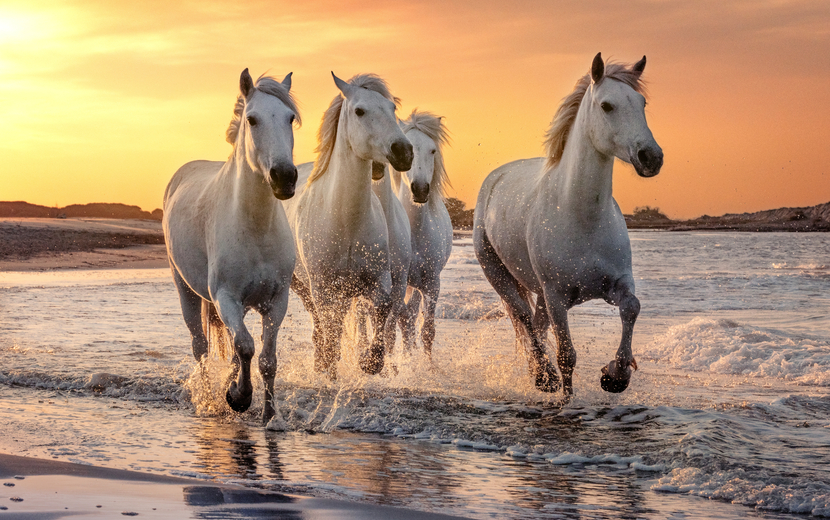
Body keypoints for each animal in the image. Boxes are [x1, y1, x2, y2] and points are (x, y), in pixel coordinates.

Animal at [163, 69, 300, 424]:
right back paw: (210, 398)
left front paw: (269, 416)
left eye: (290, 118)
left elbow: (266, 359)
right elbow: (247, 347)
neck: (255, 227)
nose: (284, 176)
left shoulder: (276, 301)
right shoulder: (225, 297)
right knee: (201, 346)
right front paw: (238, 397)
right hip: (185, 289)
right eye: (252, 119)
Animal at [282, 73, 413, 381]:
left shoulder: (379, 280)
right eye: (359, 111)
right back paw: (321, 364)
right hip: (304, 286)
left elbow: (382, 310)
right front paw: (330, 367)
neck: (347, 222)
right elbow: (330, 329)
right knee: (321, 324)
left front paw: (370, 362)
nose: (403, 151)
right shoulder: (323, 287)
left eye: (392, 108)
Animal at [473, 53, 663, 395]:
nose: (651, 157)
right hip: (499, 275)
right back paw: (543, 376)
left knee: (535, 325)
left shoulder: (617, 283)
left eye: (641, 102)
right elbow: (567, 357)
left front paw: (615, 375)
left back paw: (538, 372)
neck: (582, 217)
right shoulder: (557, 297)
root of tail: (495, 178)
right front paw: (566, 395)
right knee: (524, 319)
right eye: (606, 105)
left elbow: (632, 307)